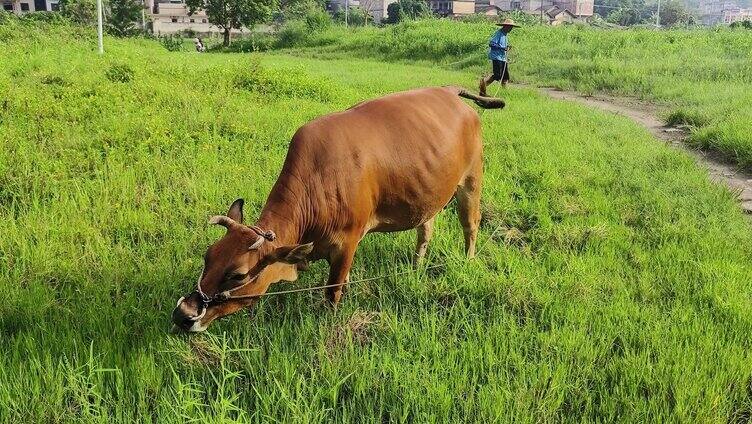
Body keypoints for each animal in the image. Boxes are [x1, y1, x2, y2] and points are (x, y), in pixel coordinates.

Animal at [170, 85, 506, 332]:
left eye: (238, 275)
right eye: (208, 256)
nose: (182, 314)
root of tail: (449, 90)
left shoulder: (348, 243)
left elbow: (333, 290)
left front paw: (327, 320)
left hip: (472, 180)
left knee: (471, 224)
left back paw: (468, 260)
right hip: (429, 195)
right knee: (426, 229)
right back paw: (416, 265)